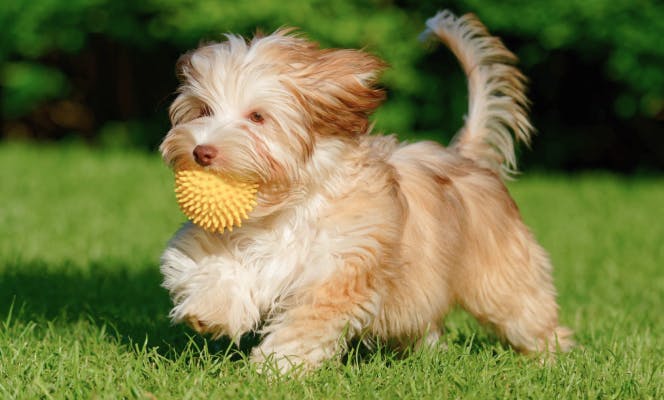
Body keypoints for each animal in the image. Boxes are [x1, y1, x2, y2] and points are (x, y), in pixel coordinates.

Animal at [158, 10, 572, 372]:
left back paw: (551, 358)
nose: (202, 151)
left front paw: (277, 368)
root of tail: (465, 157)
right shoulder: (220, 241)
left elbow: (307, 322)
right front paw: (210, 309)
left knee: (525, 311)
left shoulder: (341, 265)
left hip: (501, 274)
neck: (285, 206)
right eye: (203, 110)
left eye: (257, 117)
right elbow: (207, 264)